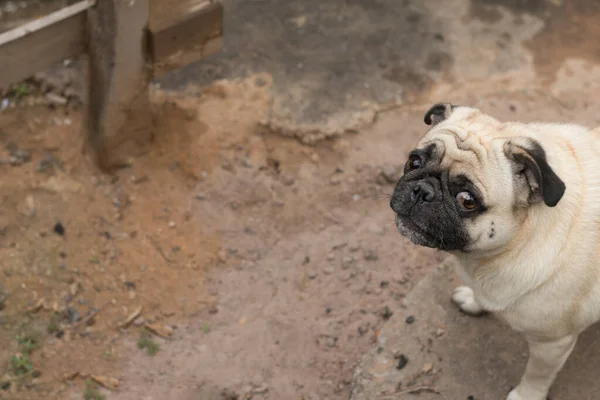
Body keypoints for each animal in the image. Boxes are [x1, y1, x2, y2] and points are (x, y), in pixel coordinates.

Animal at [392, 104, 600, 400]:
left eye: (467, 200)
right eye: (414, 163)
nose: (422, 190)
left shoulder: (552, 343)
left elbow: (537, 374)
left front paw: (526, 395)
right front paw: (473, 300)